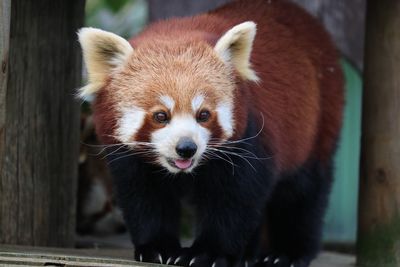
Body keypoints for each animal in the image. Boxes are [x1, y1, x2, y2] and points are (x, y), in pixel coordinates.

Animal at [79, 0, 344, 267]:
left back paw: (287, 253)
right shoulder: (130, 159)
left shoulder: (248, 141)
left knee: (302, 192)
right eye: (161, 116)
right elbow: (145, 197)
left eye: (203, 114)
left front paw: (209, 252)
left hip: (316, 123)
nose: (186, 148)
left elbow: (233, 200)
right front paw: (157, 247)